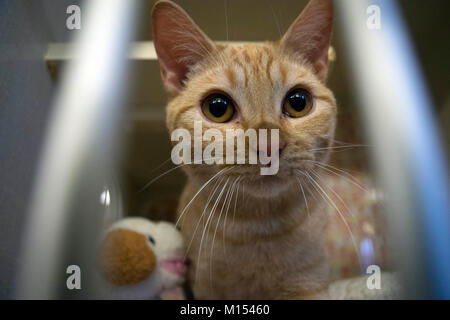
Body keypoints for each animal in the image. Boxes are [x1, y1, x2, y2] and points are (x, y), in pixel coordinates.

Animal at [153, 0, 336, 300]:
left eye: (298, 102)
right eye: (217, 108)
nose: (269, 145)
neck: (259, 229)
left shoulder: (310, 282)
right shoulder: (207, 288)